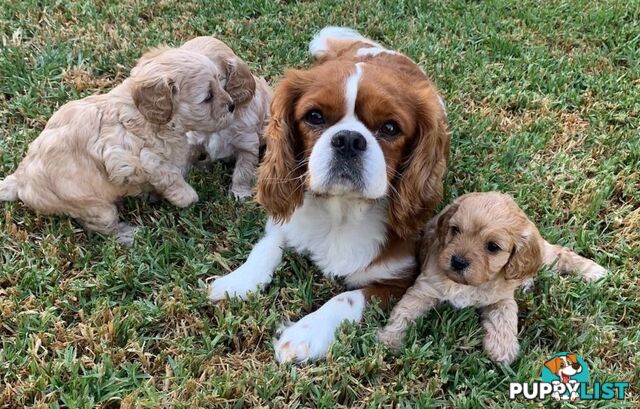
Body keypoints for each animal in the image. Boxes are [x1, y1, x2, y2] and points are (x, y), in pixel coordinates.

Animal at [208, 27, 448, 362]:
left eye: (390, 128)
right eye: (315, 116)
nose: (348, 140)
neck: (342, 210)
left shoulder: (399, 278)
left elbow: (346, 299)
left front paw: (305, 334)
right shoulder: (286, 221)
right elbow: (267, 246)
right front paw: (238, 281)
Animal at [378, 191, 608, 364]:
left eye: (493, 247)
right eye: (455, 230)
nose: (458, 261)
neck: (469, 284)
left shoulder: (501, 299)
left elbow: (504, 319)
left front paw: (503, 350)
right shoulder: (424, 289)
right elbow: (405, 312)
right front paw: (390, 339)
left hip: (544, 256)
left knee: (560, 254)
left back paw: (594, 272)